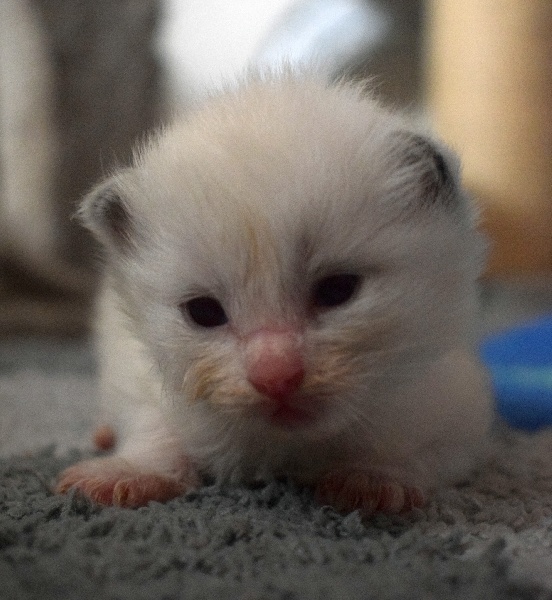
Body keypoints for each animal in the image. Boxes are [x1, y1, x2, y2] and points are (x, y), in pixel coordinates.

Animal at [58, 72, 494, 512]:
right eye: (204, 312)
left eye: (338, 290)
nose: (275, 378)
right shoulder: (135, 372)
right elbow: (154, 425)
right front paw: (130, 473)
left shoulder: (459, 406)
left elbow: (416, 448)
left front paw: (374, 478)